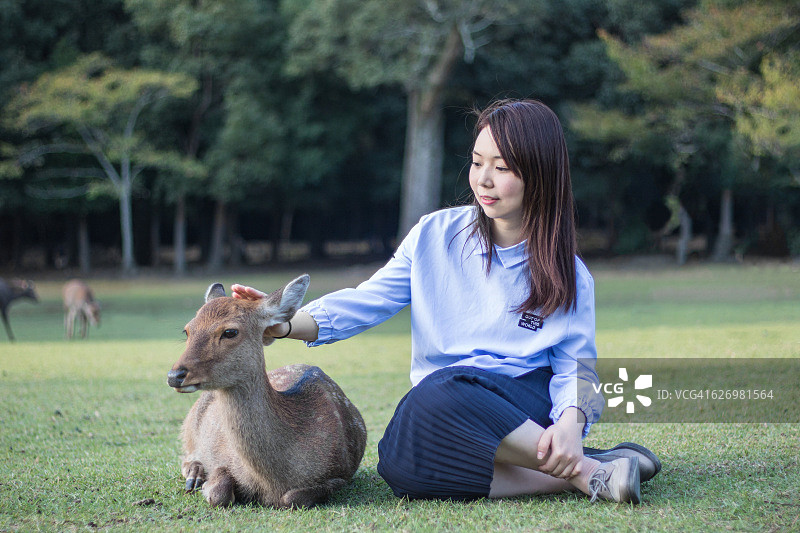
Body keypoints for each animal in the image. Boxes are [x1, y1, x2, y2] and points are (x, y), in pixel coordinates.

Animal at [167, 274, 367, 508]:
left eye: (230, 332)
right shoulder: (221, 459)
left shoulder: (340, 475)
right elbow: (219, 492)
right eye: (187, 330)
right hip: (189, 424)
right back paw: (195, 474)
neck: (271, 482)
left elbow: (292, 498)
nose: (174, 375)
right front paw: (206, 485)